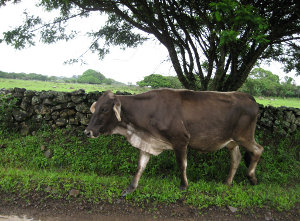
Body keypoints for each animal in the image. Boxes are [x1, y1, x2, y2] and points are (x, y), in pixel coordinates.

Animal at [84, 89, 262, 196]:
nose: (87, 132)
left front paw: (184, 186)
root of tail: (247, 96)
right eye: (96, 108)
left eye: (104, 109)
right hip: (232, 141)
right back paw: (228, 182)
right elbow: (140, 166)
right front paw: (130, 188)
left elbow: (182, 165)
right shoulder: (147, 142)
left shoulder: (180, 139)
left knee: (258, 150)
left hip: (244, 136)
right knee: (236, 158)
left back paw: (252, 177)